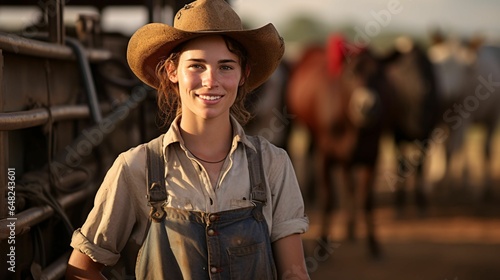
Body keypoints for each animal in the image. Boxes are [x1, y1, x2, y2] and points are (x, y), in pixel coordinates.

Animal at [288, 34, 440, 258]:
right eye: (350, 74)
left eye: (379, 75)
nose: (367, 106)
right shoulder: (325, 156)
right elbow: (328, 200)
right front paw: (322, 244)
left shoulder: (372, 155)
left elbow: (366, 200)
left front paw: (373, 244)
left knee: (349, 187)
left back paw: (351, 229)